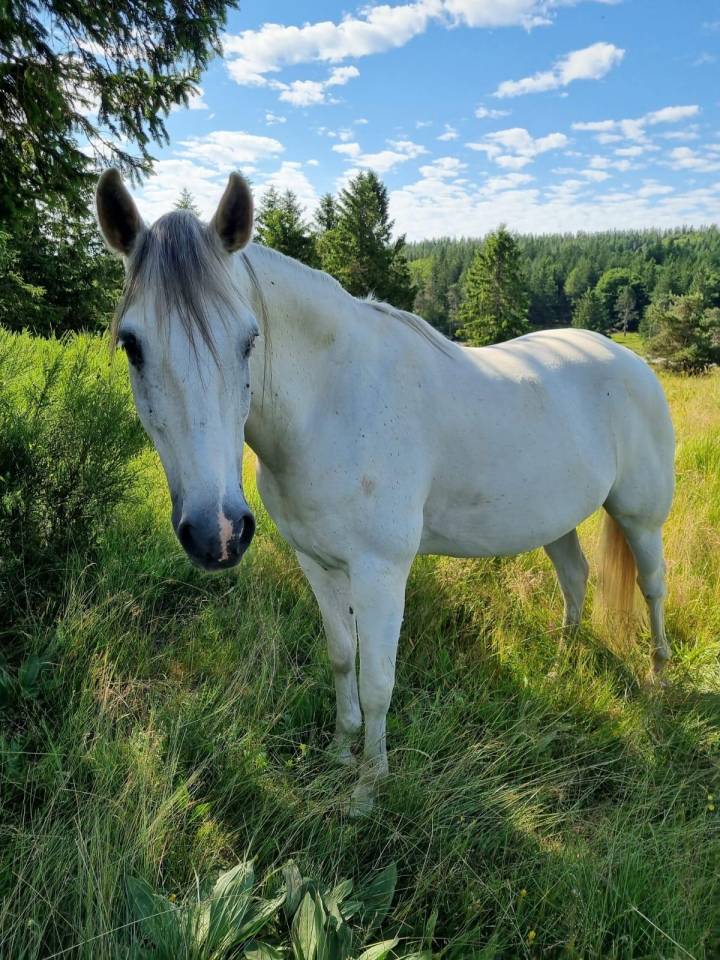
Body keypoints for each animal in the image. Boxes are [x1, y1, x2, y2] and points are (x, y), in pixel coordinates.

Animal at [96, 169, 675, 815]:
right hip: (556, 519)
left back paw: (658, 675)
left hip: (641, 517)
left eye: (249, 340)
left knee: (653, 586)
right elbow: (341, 660)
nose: (216, 533)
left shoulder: (380, 571)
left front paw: (369, 787)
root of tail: (630, 358)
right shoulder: (318, 564)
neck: (332, 405)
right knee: (574, 581)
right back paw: (560, 665)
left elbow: (376, 681)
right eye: (132, 344)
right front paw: (337, 752)